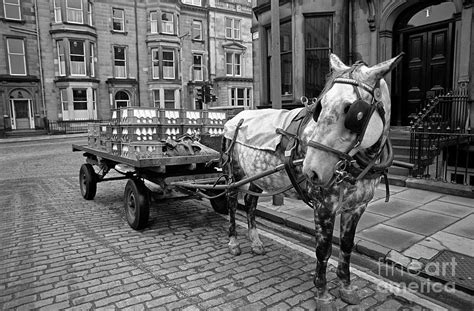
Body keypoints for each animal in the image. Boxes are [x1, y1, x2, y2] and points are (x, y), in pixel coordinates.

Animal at [220, 52, 402, 308]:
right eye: (321, 106)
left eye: (355, 113)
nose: (311, 171)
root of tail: (237, 116)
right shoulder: (324, 205)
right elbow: (323, 250)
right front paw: (323, 294)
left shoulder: (356, 207)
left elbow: (346, 246)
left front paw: (346, 286)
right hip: (234, 172)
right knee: (231, 202)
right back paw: (234, 242)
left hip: (256, 175)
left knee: (250, 204)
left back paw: (255, 242)